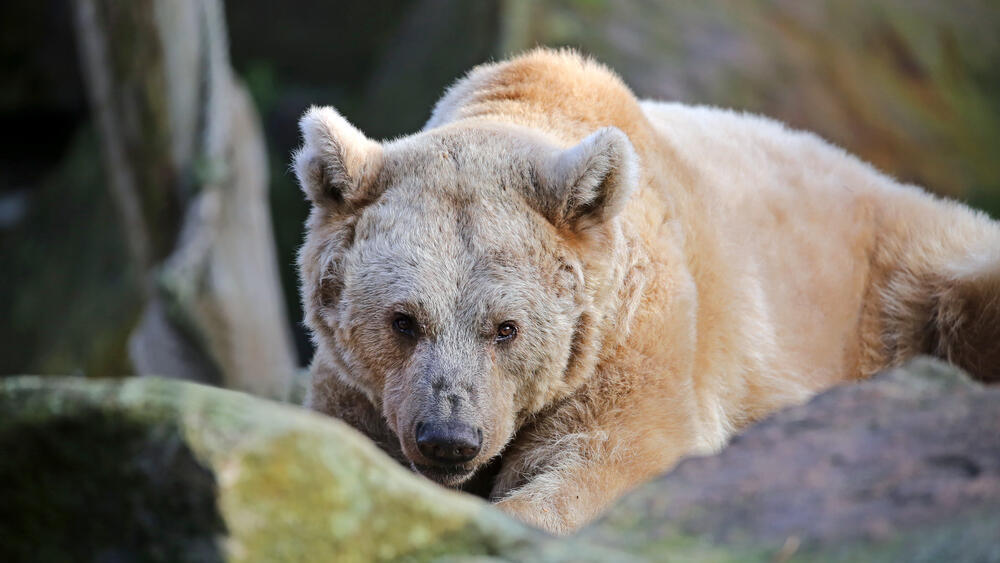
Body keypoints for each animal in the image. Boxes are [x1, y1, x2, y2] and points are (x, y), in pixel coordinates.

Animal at [293, 48, 1000, 534]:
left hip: (904, 280)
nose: (449, 438)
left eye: (506, 328)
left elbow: (616, 455)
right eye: (404, 320)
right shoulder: (355, 388)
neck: (526, 103)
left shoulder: (631, 329)